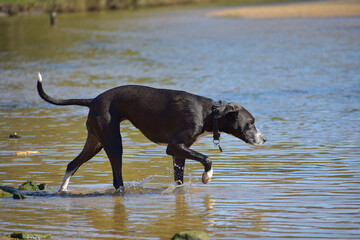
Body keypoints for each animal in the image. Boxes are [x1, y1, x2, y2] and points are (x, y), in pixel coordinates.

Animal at [36, 72, 266, 191]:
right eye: (251, 123)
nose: (264, 139)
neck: (208, 113)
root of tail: (93, 100)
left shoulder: (179, 153)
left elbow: (179, 180)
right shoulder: (174, 146)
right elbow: (207, 158)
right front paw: (207, 177)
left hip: (96, 142)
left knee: (72, 164)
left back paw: (63, 191)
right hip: (113, 143)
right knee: (116, 179)